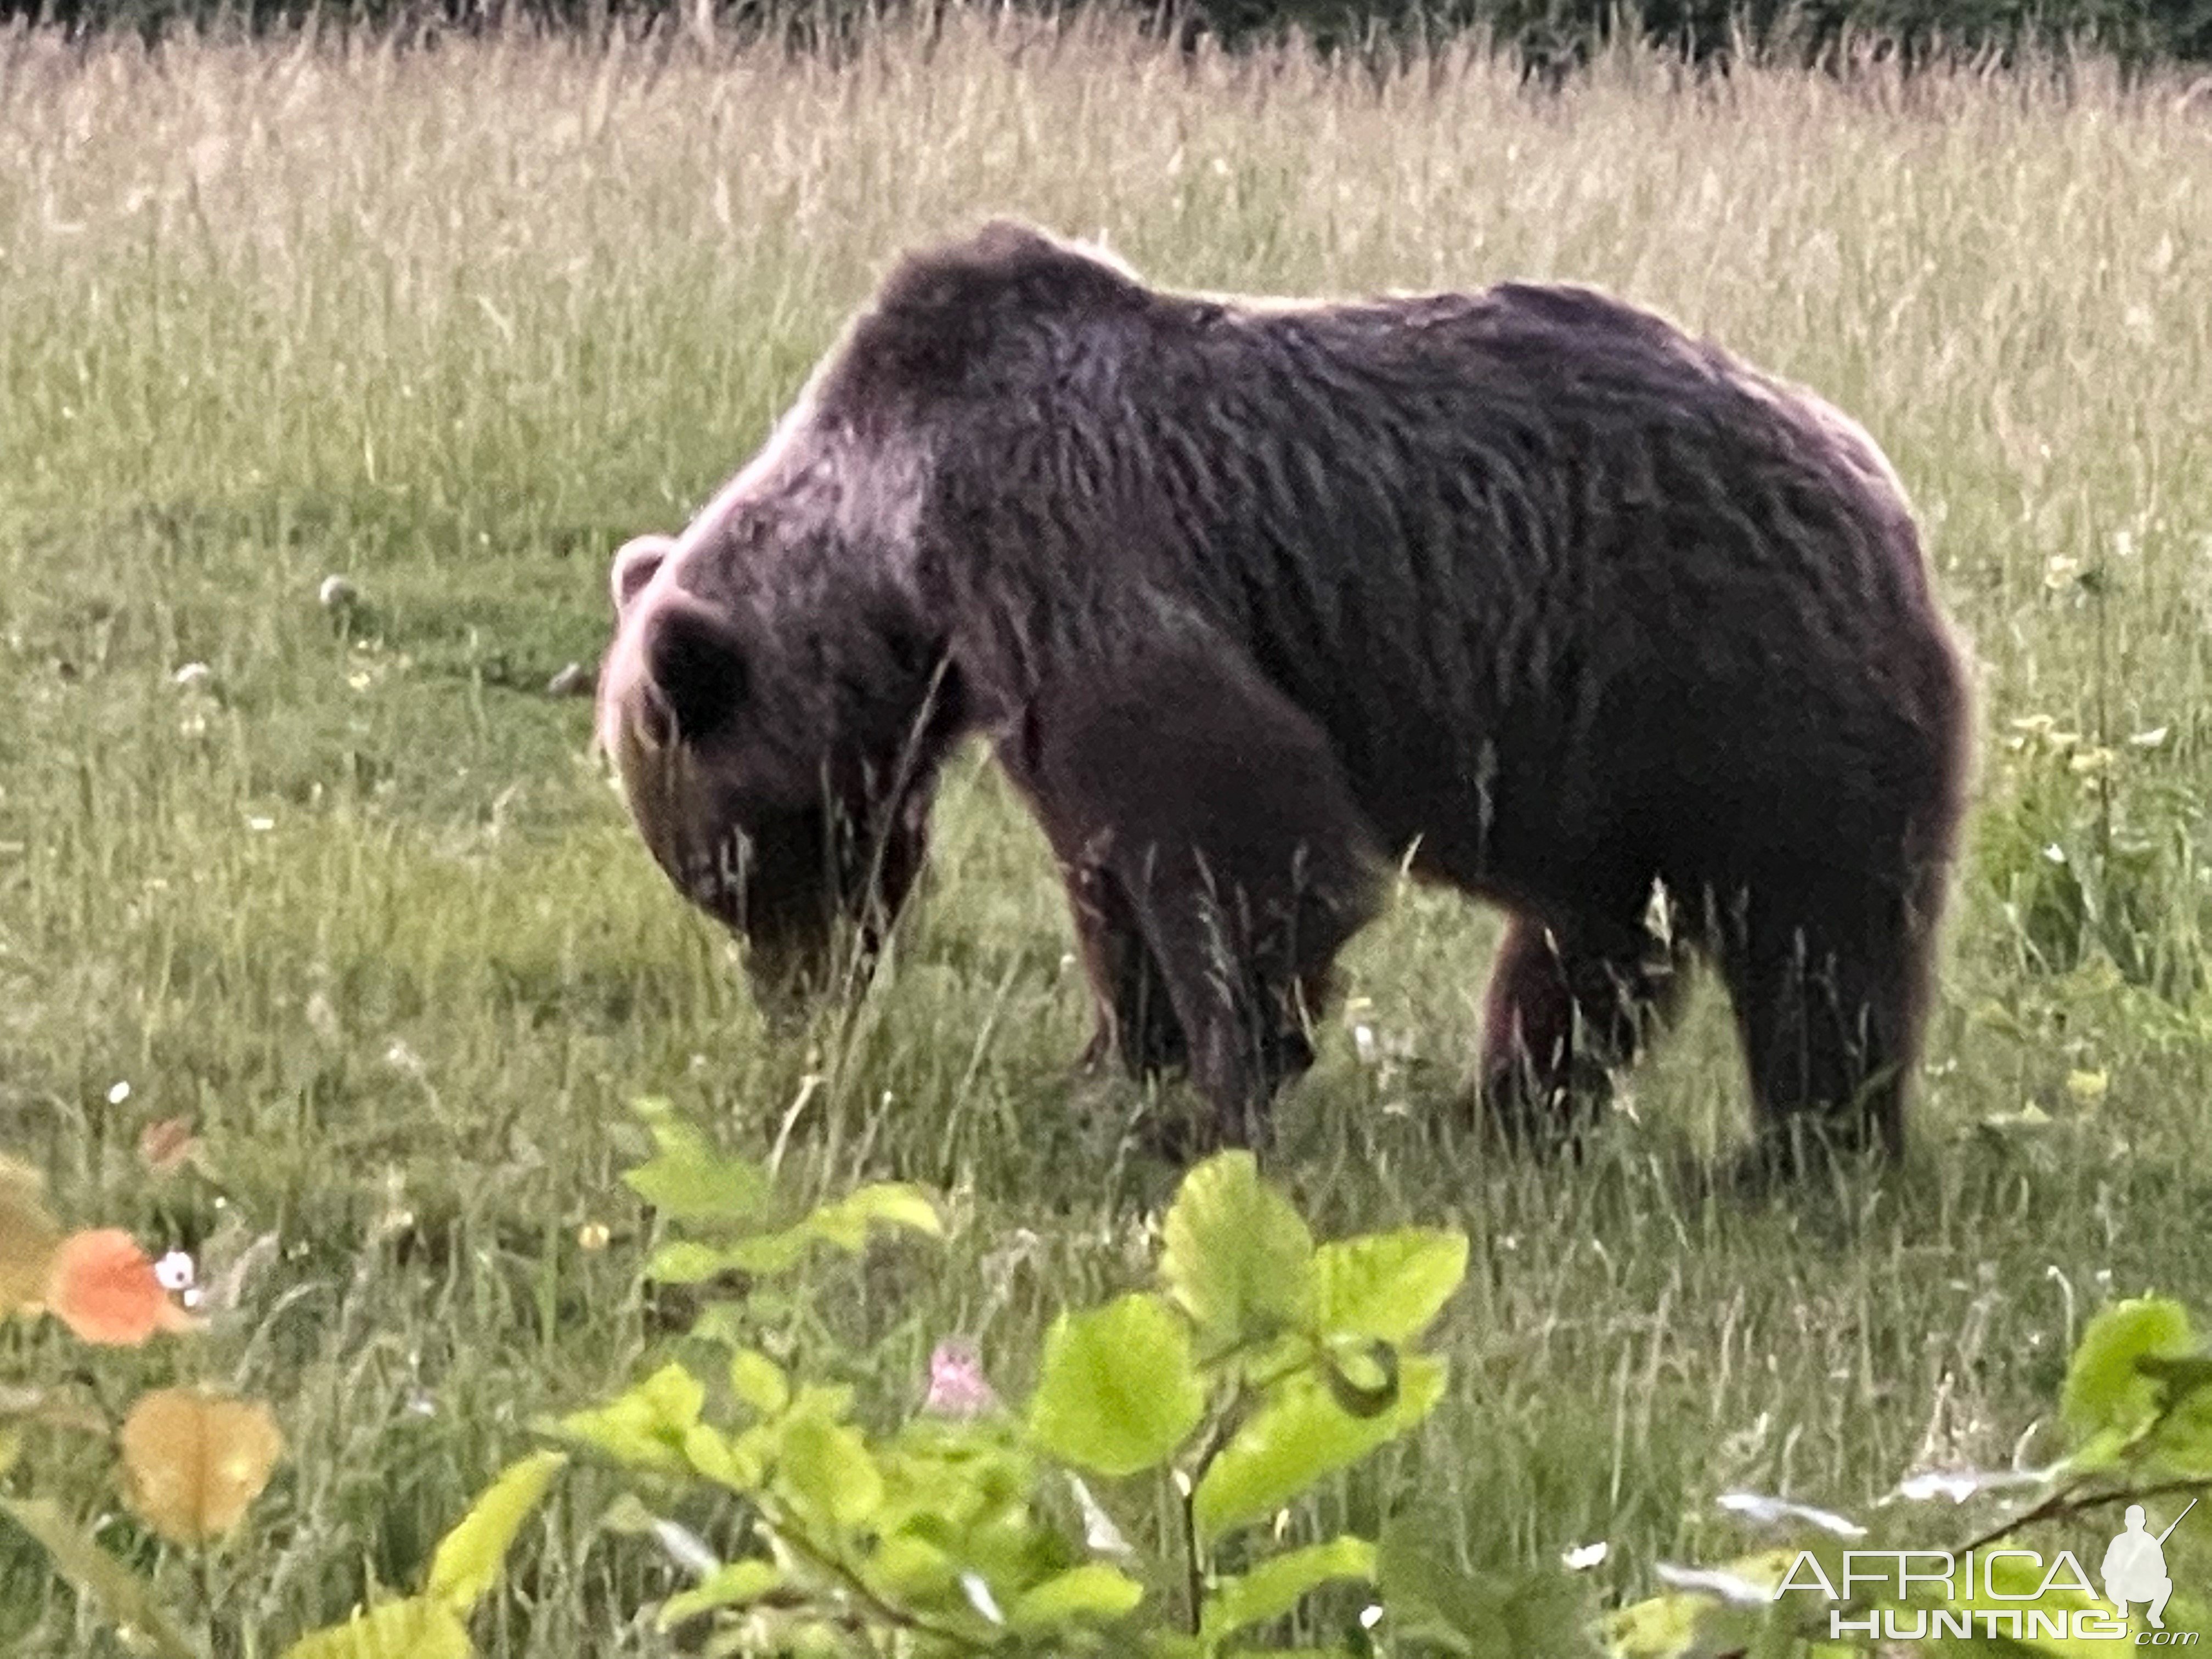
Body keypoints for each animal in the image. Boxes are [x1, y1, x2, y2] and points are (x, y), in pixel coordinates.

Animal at [592, 221, 1973, 1177]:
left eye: (736, 869)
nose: (797, 1007)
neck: (899, 549)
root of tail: (1880, 484)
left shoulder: (1067, 542)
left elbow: (1224, 821)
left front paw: (1215, 1096)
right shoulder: (1019, 653)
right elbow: (1108, 874)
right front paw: (1112, 1068)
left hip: (1741, 677)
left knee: (1816, 938)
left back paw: (1805, 1149)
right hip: (1611, 752)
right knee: (1592, 939)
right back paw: (1507, 1108)